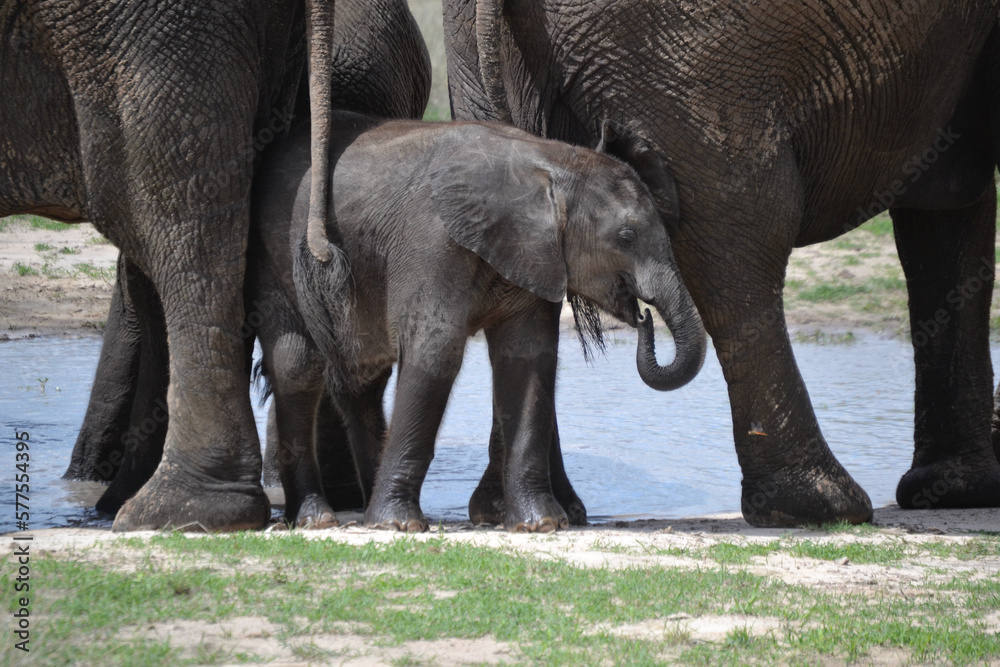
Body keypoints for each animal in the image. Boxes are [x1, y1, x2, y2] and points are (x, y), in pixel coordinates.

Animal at [251, 111, 706, 531]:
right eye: (626, 237)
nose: (644, 316)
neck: (551, 160)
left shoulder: (535, 257)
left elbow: (527, 360)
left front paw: (540, 524)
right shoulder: (433, 244)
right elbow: (435, 352)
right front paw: (399, 526)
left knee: (362, 381)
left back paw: (358, 511)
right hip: (276, 260)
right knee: (297, 364)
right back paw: (317, 518)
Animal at [441, 0, 1000, 526]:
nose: (642, 317)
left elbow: (946, 218)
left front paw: (953, 491)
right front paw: (964, 491)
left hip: (477, 63)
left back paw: (519, 511)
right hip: (692, 55)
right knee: (748, 233)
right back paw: (822, 509)